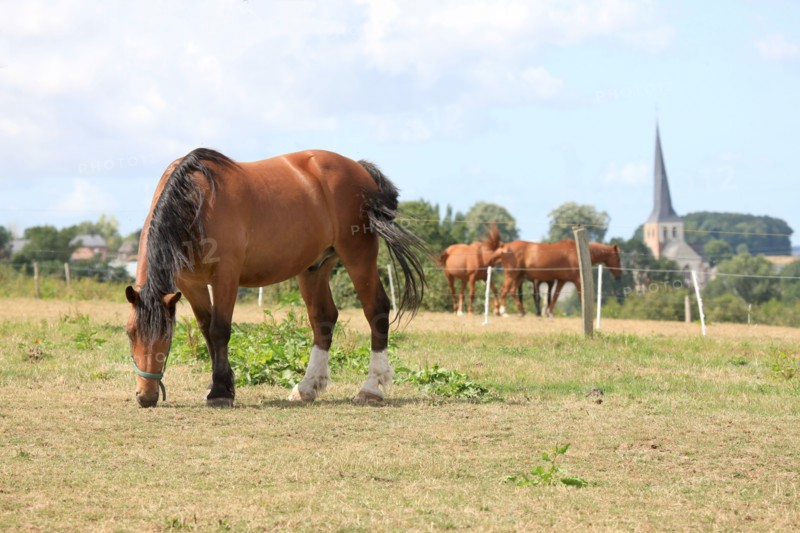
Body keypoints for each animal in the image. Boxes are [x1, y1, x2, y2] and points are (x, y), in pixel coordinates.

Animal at [125, 148, 427, 408]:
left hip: (358, 256)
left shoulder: (226, 276)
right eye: (130, 333)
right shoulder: (192, 285)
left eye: (166, 335)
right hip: (314, 268)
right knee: (323, 319)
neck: (195, 203)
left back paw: (371, 388)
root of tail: (359, 167)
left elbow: (220, 330)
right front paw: (222, 384)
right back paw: (307, 387)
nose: (146, 397)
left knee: (376, 310)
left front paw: (221, 392)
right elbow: (207, 331)